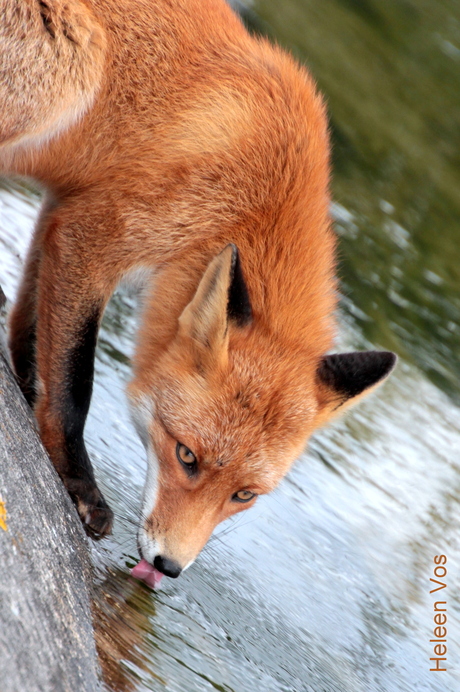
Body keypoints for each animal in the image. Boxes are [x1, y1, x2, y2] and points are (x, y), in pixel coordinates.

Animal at [0, 0, 396, 584]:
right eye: (186, 456)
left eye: (244, 495)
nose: (168, 566)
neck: (250, 200)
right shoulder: (94, 234)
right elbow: (75, 382)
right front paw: (77, 485)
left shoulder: (65, 211)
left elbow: (32, 336)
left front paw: (29, 400)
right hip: (71, 69)